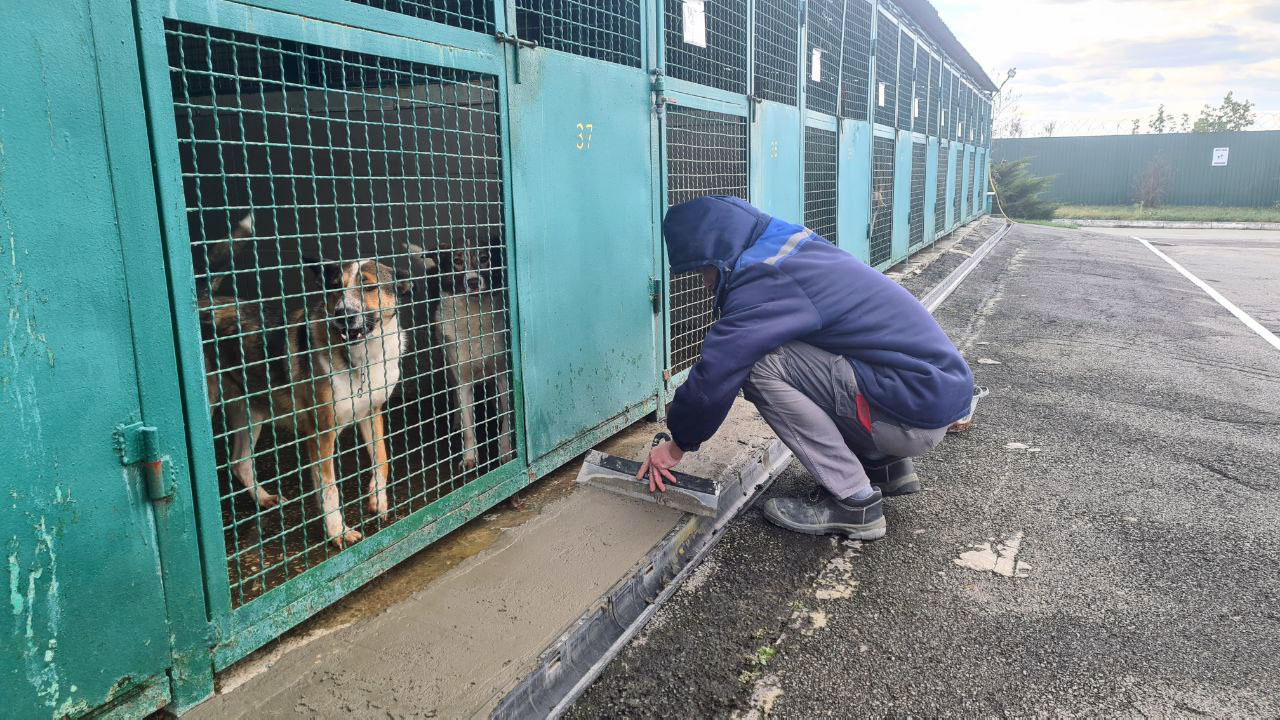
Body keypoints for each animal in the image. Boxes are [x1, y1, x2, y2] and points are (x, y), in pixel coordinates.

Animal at [202, 215, 407, 545]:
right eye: (335, 288)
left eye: (369, 287)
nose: (342, 314)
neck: (362, 356)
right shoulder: (321, 432)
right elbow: (329, 488)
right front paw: (338, 532)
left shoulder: (371, 412)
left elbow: (383, 459)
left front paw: (378, 499)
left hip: (252, 409)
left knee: (240, 461)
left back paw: (264, 498)